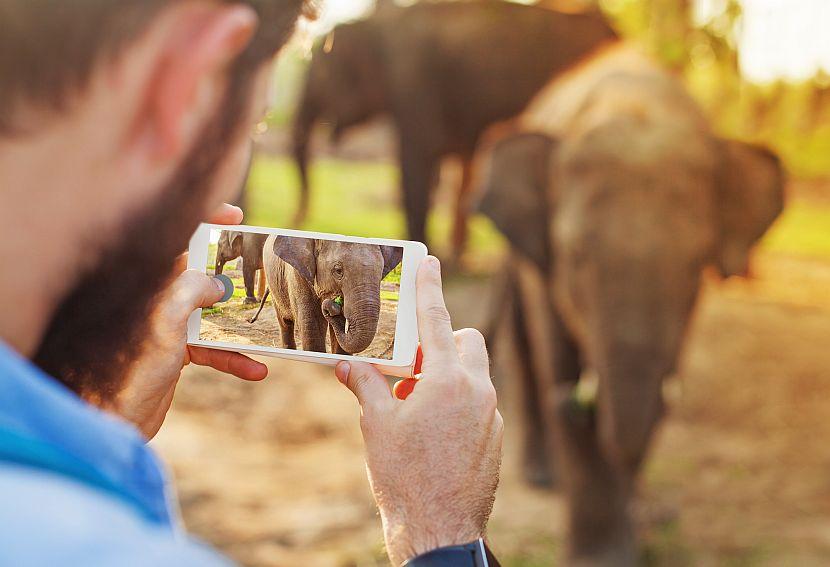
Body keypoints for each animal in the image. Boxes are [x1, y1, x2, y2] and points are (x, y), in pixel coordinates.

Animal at [256, 236, 406, 356]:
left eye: (381, 272)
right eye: (338, 270)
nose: (332, 305)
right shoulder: (297, 274)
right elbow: (313, 330)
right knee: (285, 322)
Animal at [292, 1, 616, 258]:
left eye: (322, 74)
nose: (299, 219)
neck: (378, 23)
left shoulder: (414, 80)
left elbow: (416, 164)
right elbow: (462, 160)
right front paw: (455, 254)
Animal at [480, 46, 788, 564]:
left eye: (696, 264)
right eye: (575, 256)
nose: (576, 403)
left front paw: (641, 527)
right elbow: (555, 352)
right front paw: (601, 556)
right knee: (525, 339)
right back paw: (545, 475)